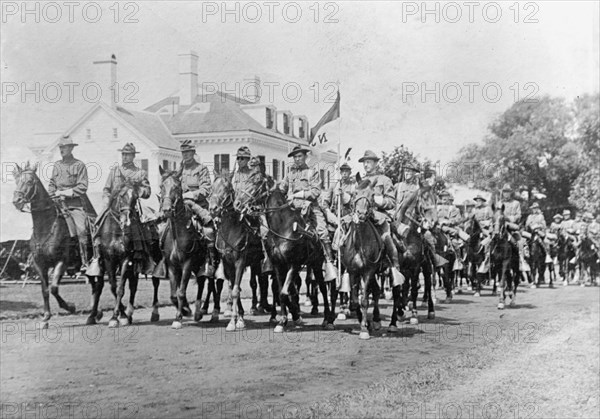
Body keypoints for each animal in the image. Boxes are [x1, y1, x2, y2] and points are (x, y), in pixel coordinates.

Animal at [12, 163, 84, 328]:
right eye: (16, 180)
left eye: (30, 181)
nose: (17, 200)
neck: (46, 227)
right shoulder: (40, 265)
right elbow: (45, 290)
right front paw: (45, 317)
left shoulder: (62, 262)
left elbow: (54, 288)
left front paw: (70, 307)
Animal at [158, 169, 207, 330]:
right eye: (162, 186)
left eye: (176, 187)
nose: (167, 210)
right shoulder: (173, 266)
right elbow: (175, 294)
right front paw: (184, 310)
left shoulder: (187, 264)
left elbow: (180, 292)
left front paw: (179, 317)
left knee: (205, 284)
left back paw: (199, 312)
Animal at [340, 179, 386, 340]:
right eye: (355, 193)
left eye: (372, 195)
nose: (361, 214)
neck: (359, 243)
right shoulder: (353, 271)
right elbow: (354, 302)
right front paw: (363, 322)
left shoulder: (368, 271)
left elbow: (365, 300)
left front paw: (364, 329)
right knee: (374, 291)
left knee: (376, 292)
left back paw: (376, 320)